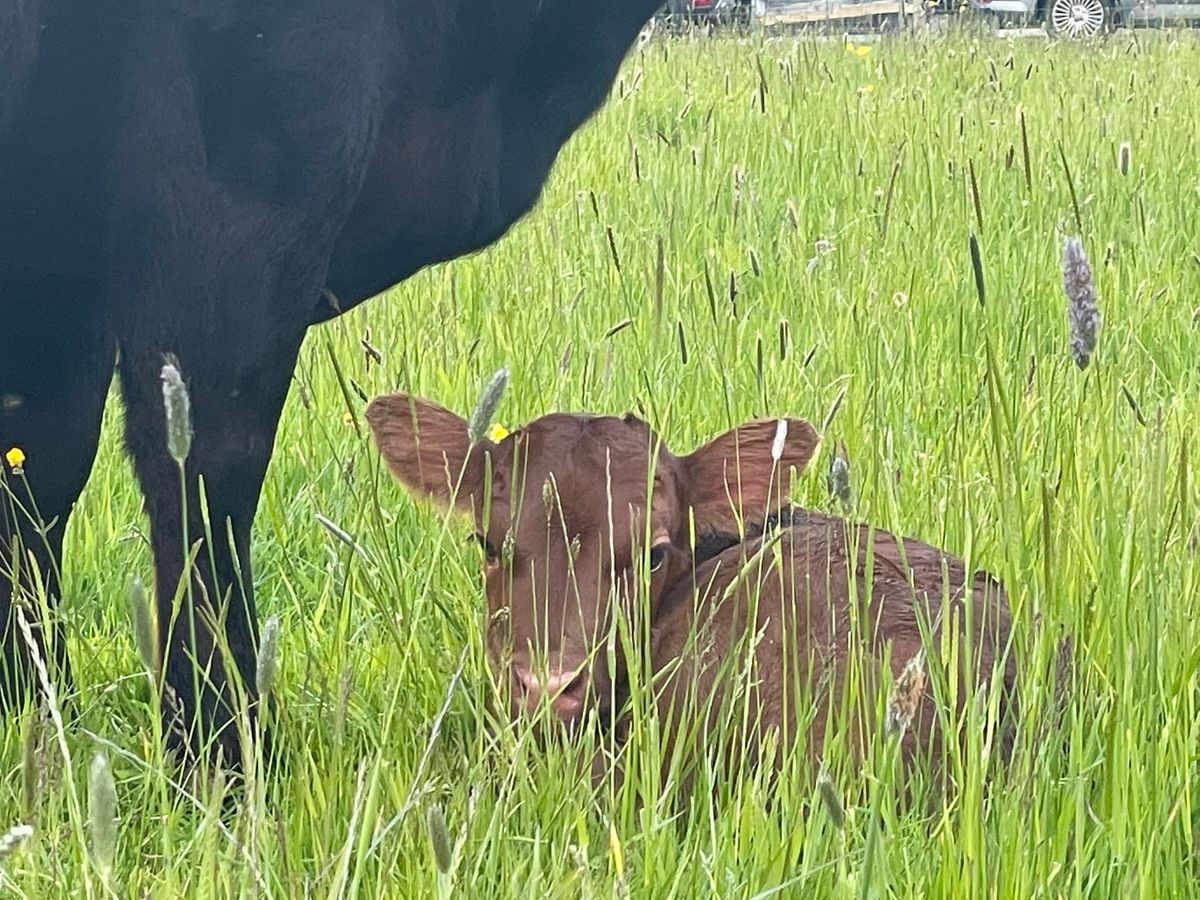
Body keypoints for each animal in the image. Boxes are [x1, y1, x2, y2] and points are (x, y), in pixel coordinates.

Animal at [0, 0, 657, 768]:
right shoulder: (248, 163)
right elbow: (204, 472)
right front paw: (224, 750)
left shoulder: (61, 248)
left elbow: (37, 465)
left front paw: (34, 714)